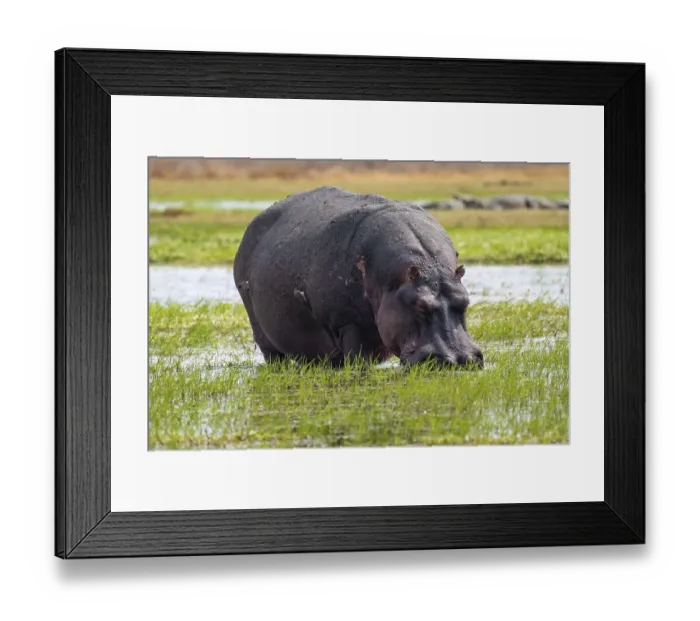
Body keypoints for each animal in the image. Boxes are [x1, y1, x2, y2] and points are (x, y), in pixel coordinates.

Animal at [233, 186, 484, 367]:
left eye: (465, 301)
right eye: (419, 306)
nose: (461, 360)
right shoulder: (349, 322)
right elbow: (358, 360)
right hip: (264, 334)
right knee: (274, 355)